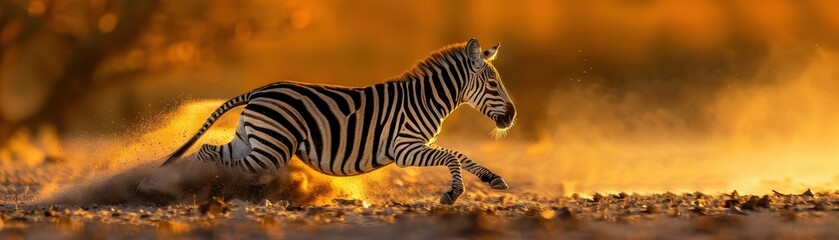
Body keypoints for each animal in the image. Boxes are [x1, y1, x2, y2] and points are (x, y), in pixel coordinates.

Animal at [152, 38, 520, 204]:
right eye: (492, 83)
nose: (512, 117)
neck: (425, 99)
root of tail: (258, 91)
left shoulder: (416, 146)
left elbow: (461, 156)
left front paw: (493, 179)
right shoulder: (405, 148)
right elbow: (454, 156)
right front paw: (453, 194)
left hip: (251, 141)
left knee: (209, 153)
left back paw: (198, 188)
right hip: (271, 149)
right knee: (216, 159)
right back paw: (200, 189)